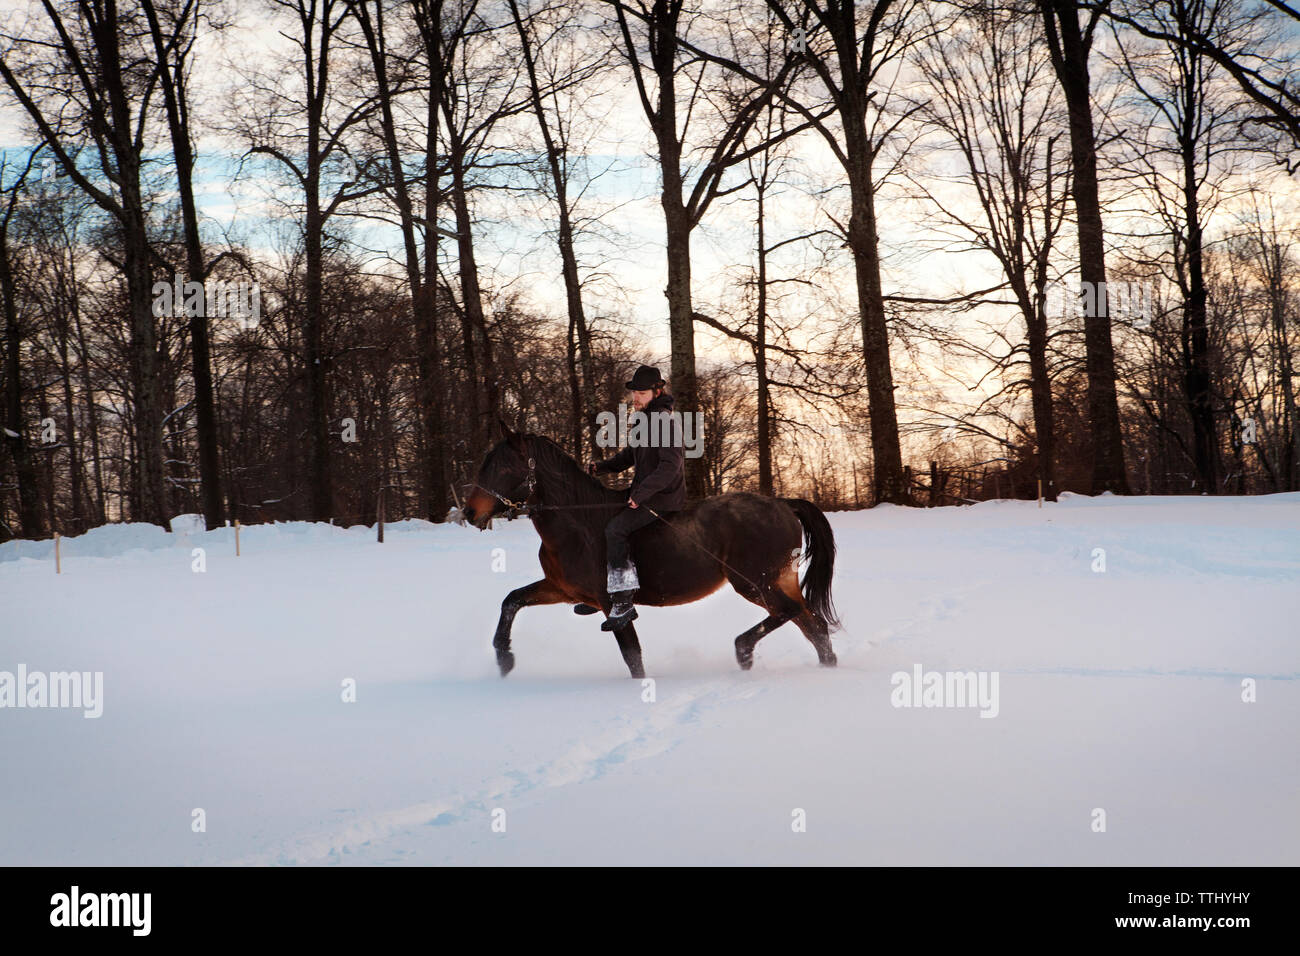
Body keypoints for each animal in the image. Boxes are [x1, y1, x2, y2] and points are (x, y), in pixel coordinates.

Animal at [462, 426, 837, 681]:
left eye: (505, 468)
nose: (469, 512)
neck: (578, 524)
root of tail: (783, 504)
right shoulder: (561, 589)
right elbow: (511, 600)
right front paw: (504, 658)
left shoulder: (611, 603)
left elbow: (632, 656)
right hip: (779, 580)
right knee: (813, 625)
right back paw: (826, 670)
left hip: (756, 583)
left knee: (792, 613)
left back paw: (744, 650)